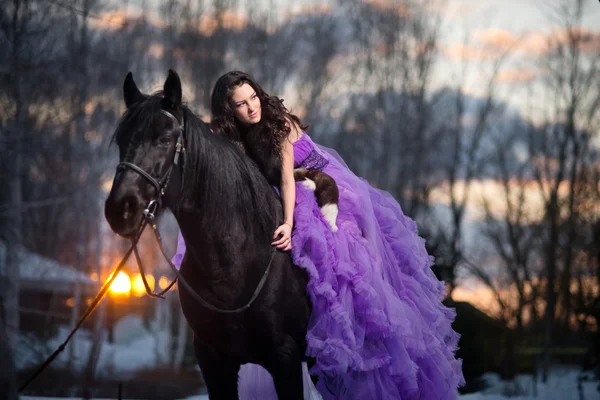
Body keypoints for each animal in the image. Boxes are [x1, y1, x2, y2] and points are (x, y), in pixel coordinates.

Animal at [103, 70, 312, 398]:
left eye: (165, 139)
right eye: (122, 140)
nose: (120, 209)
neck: (233, 266)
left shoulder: (285, 358)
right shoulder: (212, 360)